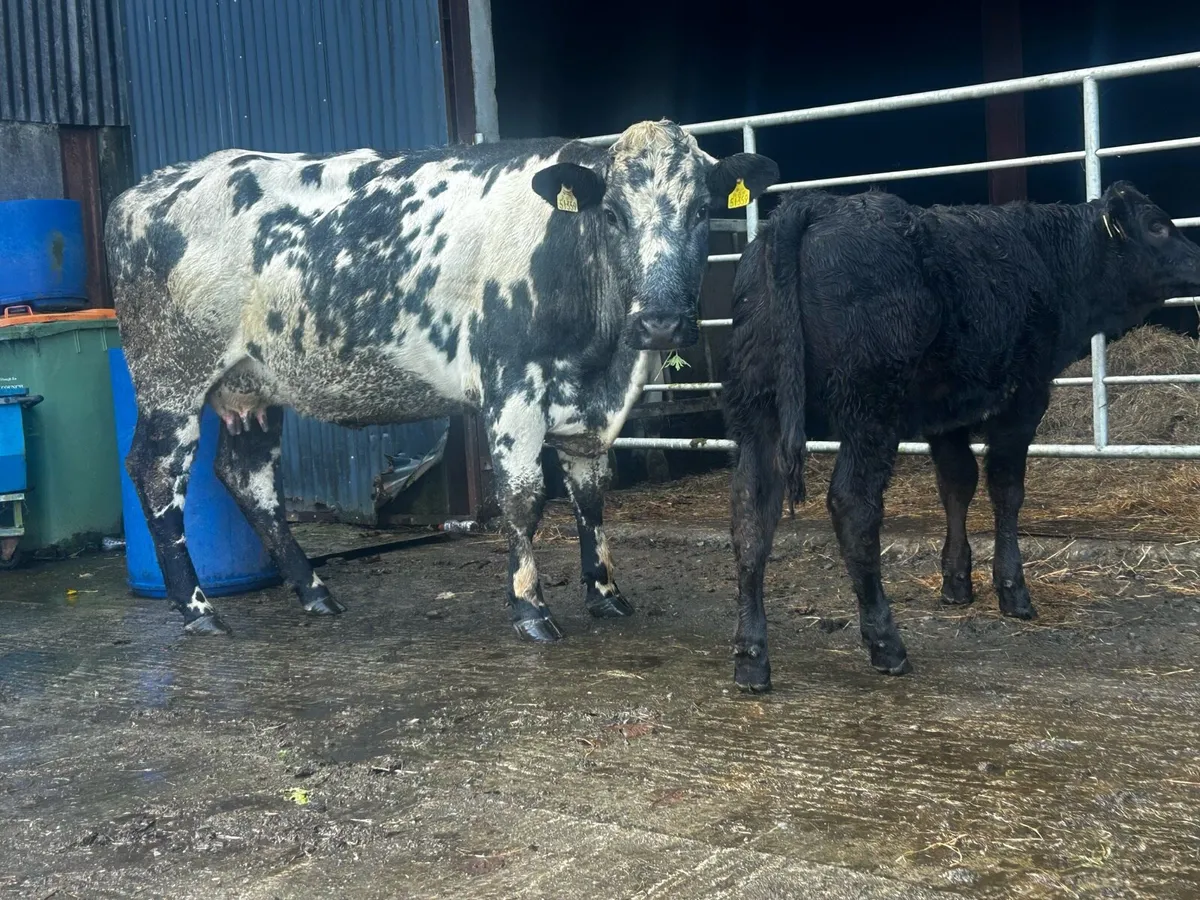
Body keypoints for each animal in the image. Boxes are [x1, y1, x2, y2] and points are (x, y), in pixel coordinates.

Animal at [105, 120, 780, 641]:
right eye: (612, 214)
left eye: (702, 211)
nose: (661, 320)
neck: (602, 356)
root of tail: (144, 190)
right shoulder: (511, 388)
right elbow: (524, 498)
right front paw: (529, 608)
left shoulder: (589, 407)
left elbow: (590, 497)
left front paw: (606, 594)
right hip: (171, 376)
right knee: (156, 473)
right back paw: (198, 610)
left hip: (254, 384)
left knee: (250, 479)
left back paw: (315, 591)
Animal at [722, 181, 1200, 690]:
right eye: (1158, 226)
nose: (1199, 261)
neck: (1051, 257)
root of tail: (812, 205)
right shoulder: (1023, 397)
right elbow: (1005, 489)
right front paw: (1012, 589)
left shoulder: (945, 416)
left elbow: (957, 484)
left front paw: (956, 580)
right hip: (869, 409)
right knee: (853, 507)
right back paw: (886, 643)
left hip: (757, 410)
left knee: (751, 513)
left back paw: (751, 656)